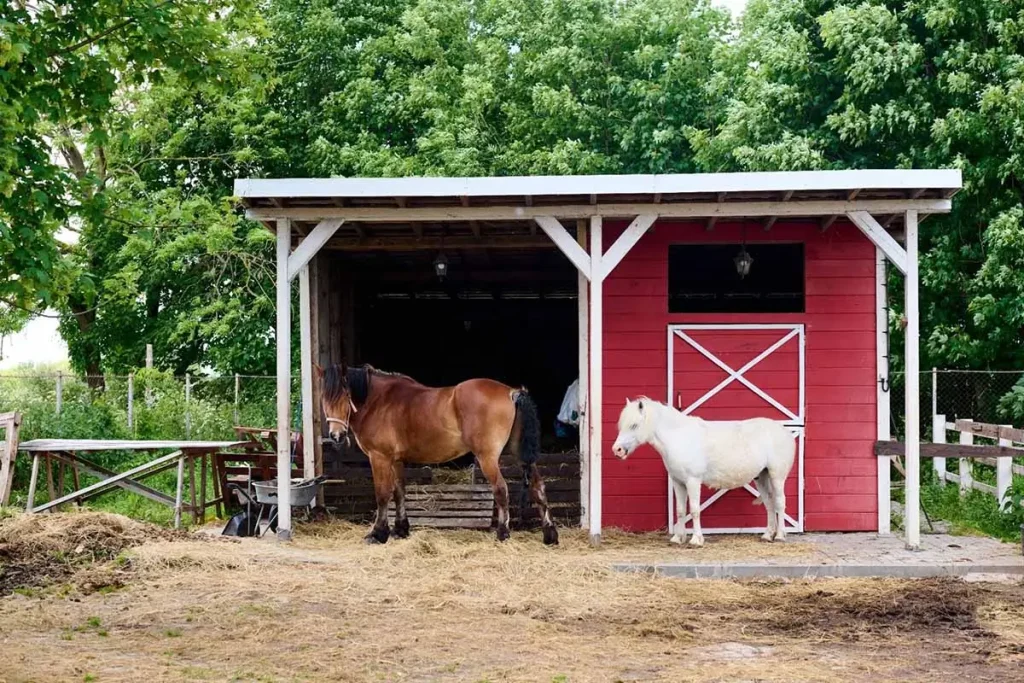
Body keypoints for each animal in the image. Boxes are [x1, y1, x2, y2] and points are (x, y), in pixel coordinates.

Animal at [315, 362, 559, 546]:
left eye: (345, 396)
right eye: (324, 398)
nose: (336, 436)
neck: (380, 401)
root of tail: (512, 392)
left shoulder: (379, 458)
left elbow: (382, 494)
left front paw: (377, 533)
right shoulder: (396, 461)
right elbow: (399, 492)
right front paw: (401, 529)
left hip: (487, 458)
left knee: (501, 489)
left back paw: (502, 533)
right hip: (520, 454)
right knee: (538, 486)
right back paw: (549, 534)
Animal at [611, 397, 796, 547]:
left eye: (634, 425)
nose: (617, 450)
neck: (679, 438)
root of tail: (784, 431)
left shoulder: (693, 481)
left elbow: (694, 510)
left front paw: (696, 540)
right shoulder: (678, 482)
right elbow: (680, 510)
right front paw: (678, 538)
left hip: (777, 476)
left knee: (780, 503)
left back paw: (780, 536)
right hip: (761, 477)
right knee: (769, 504)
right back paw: (767, 535)